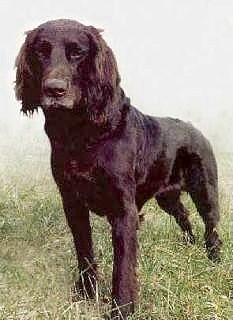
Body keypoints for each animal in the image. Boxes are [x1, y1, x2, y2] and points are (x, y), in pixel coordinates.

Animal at [15, 18, 222, 318]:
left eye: (77, 52)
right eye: (41, 51)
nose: (54, 89)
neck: (83, 135)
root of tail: (196, 130)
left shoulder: (125, 211)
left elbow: (123, 266)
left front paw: (121, 308)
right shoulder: (72, 202)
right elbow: (84, 251)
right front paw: (86, 293)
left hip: (205, 190)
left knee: (211, 226)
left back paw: (213, 258)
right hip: (167, 197)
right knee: (184, 216)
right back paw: (189, 244)